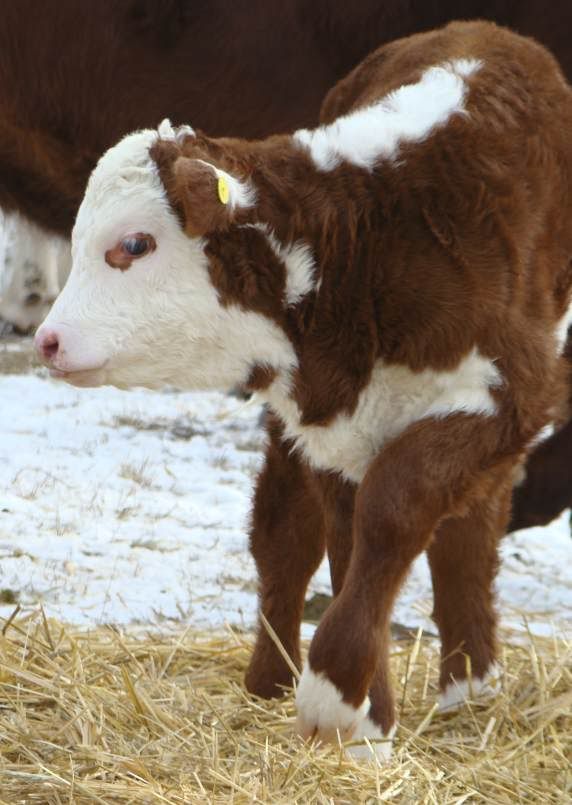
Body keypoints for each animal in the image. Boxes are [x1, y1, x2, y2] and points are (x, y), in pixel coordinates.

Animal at [34, 21, 572, 759]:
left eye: (135, 244)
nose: (48, 340)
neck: (372, 241)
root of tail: (485, 31)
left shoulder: (511, 396)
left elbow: (394, 513)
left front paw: (337, 696)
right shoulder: (330, 425)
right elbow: (349, 544)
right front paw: (366, 718)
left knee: (467, 528)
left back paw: (469, 688)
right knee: (284, 536)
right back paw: (277, 680)